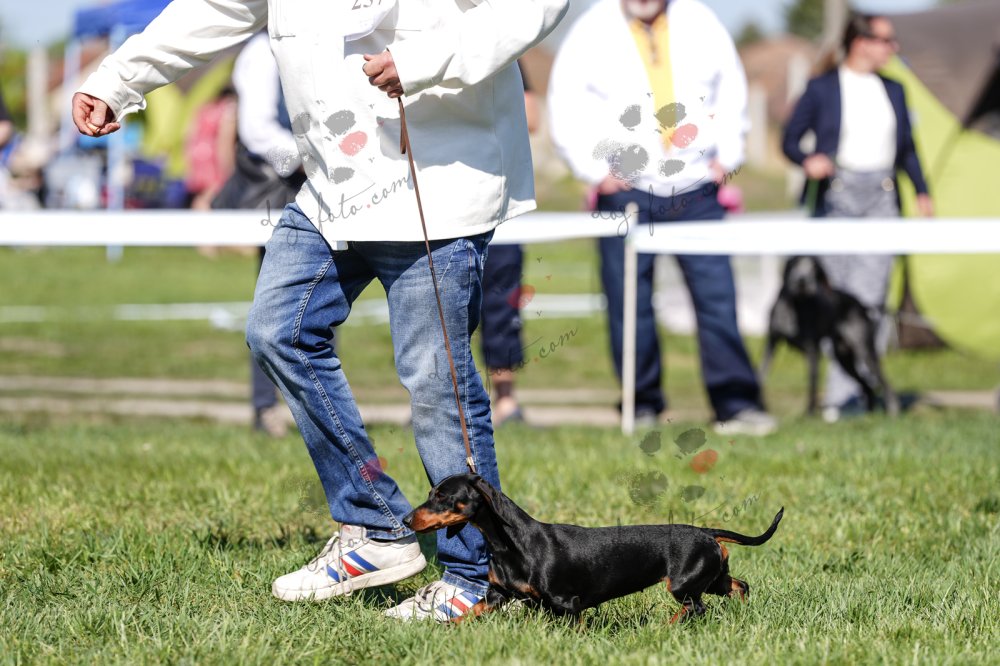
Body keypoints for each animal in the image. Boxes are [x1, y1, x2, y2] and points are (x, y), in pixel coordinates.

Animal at [405, 473, 783, 622]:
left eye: (443, 496)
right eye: (431, 493)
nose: (407, 520)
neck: (510, 543)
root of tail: (706, 531)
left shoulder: (567, 604)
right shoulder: (498, 595)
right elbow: (467, 614)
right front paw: (444, 629)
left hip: (683, 585)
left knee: (696, 608)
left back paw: (666, 626)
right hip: (712, 577)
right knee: (740, 586)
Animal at [761, 256, 899, 417]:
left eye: (814, 268)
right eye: (795, 263)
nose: (802, 281)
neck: (793, 306)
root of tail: (860, 304)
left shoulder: (813, 351)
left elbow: (812, 384)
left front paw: (809, 414)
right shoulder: (771, 344)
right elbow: (761, 374)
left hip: (864, 352)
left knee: (885, 383)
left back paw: (893, 411)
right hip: (843, 358)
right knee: (867, 386)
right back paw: (868, 415)